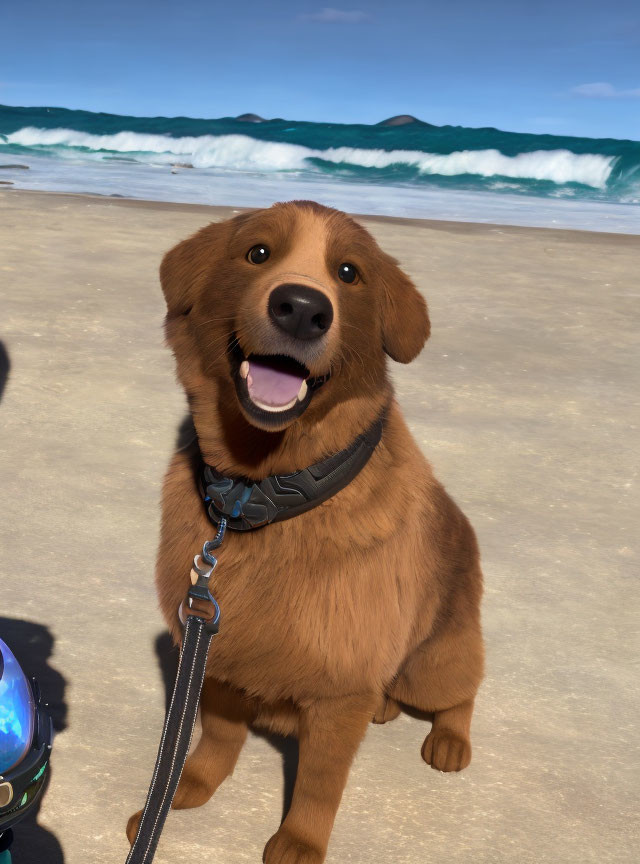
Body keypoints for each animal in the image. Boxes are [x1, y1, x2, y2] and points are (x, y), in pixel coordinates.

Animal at [127, 199, 482, 860]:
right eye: (258, 253)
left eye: (348, 272)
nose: (300, 307)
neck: (257, 497)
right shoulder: (218, 656)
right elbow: (214, 741)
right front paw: (183, 790)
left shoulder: (338, 696)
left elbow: (320, 782)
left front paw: (299, 841)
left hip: (434, 663)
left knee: (462, 691)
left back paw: (449, 738)